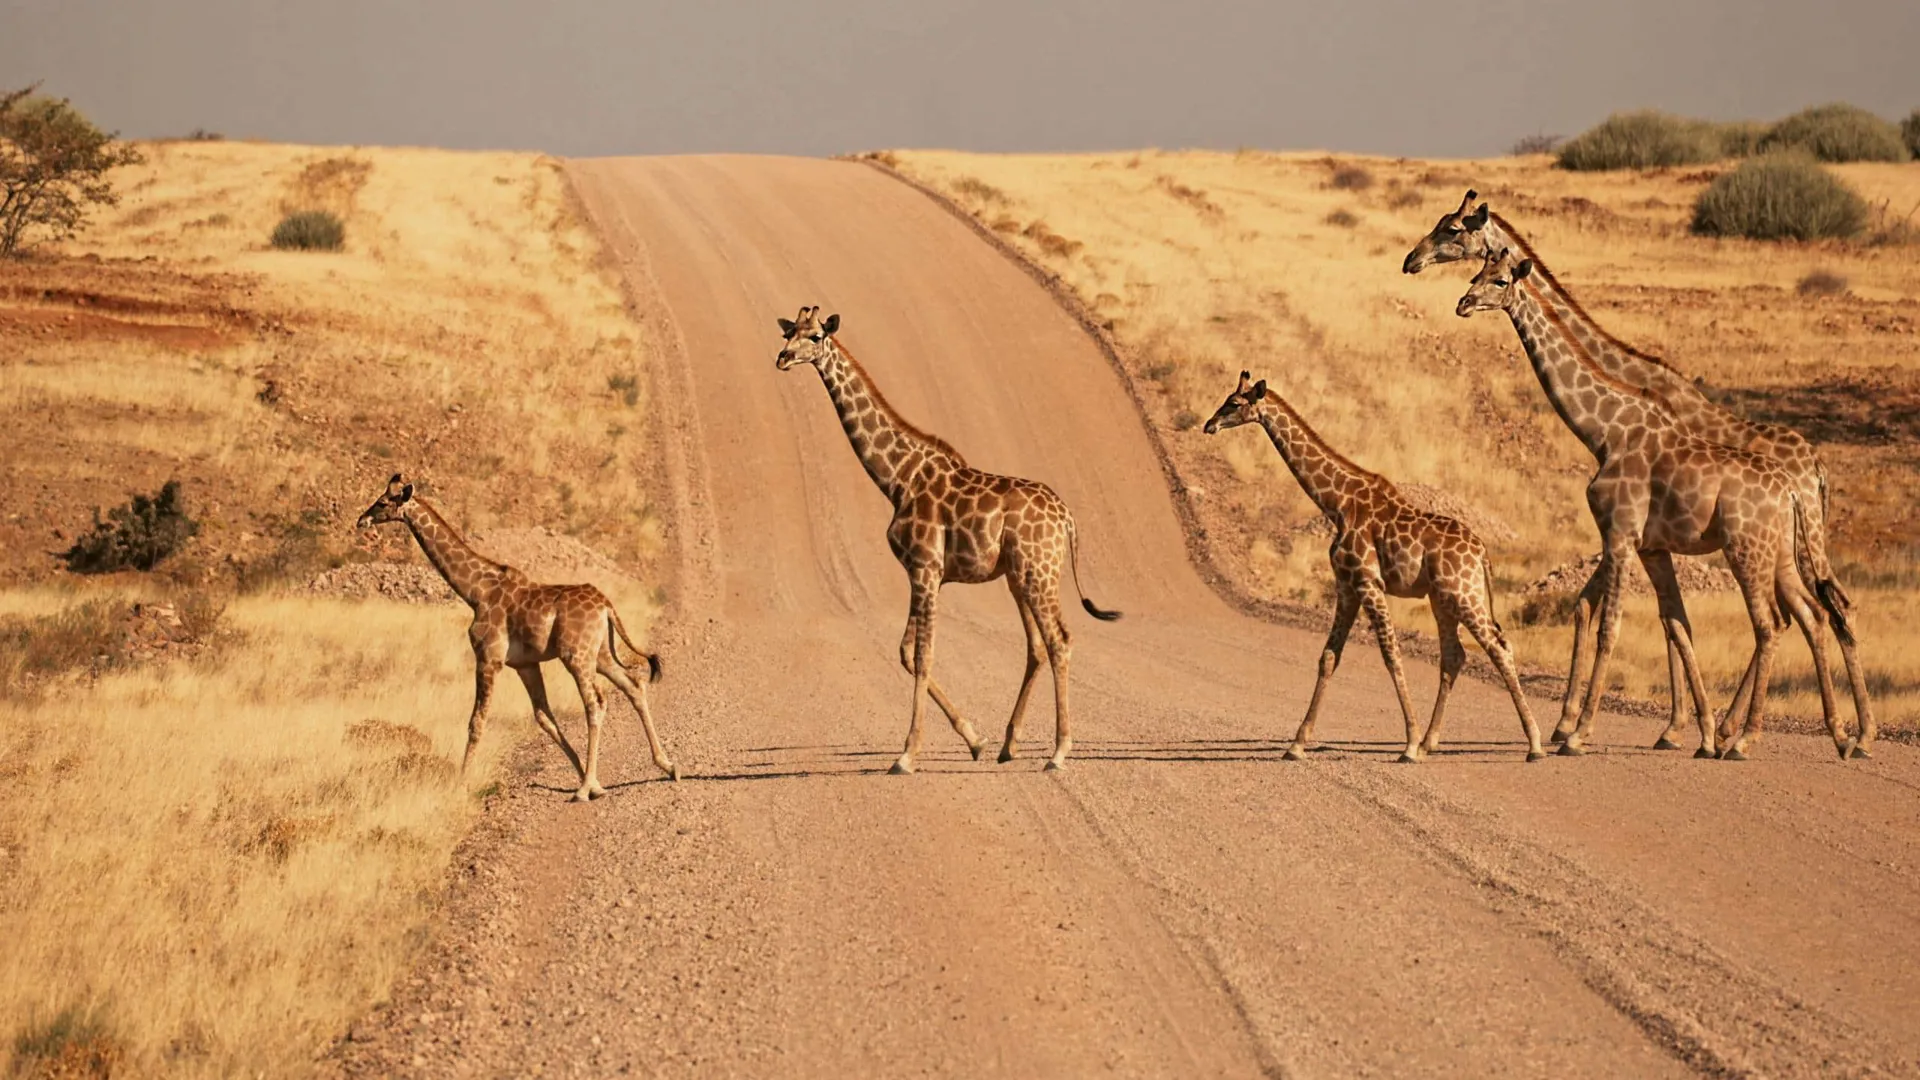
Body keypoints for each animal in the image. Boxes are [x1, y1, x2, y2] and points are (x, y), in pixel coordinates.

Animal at [355, 474, 679, 799]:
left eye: (382, 502)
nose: (361, 520)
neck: (475, 592)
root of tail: (606, 606)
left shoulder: (489, 658)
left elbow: (477, 721)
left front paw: (461, 783)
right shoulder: (525, 664)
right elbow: (544, 717)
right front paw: (589, 777)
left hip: (576, 655)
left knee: (596, 703)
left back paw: (585, 789)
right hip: (599, 653)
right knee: (633, 684)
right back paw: (666, 766)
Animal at [774, 305, 1120, 774]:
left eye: (815, 336)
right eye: (789, 332)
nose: (781, 358)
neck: (897, 479)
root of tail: (1067, 519)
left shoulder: (925, 568)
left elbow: (923, 655)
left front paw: (906, 755)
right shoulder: (925, 575)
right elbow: (906, 652)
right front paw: (975, 740)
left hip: (1040, 573)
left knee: (1059, 640)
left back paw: (1059, 752)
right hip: (1018, 577)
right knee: (1036, 647)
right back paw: (1009, 745)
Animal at [1204, 371, 1547, 763]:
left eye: (1233, 403)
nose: (1208, 424)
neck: (1336, 503)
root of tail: (1483, 553)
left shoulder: (1369, 582)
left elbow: (1391, 654)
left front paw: (1408, 743)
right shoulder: (1347, 586)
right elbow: (1329, 656)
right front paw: (1297, 744)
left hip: (1463, 594)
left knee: (1498, 648)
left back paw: (1534, 744)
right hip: (1441, 599)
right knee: (1454, 655)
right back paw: (1431, 742)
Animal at [1404, 191, 1874, 753]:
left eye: (1453, 229)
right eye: (1475, 267)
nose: (1412, 261)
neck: (1609, 425)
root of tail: (1813, 470)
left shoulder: (1624, 534)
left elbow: (1619, 622)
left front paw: (1591, 730)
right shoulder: (1645, 542)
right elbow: (1649, 619)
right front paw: (1674, 728)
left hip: (1770, 546)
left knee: (1795, 616)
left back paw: (1788, 734)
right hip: (1784, 548)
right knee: (1815, 611)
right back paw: (1832, 733)